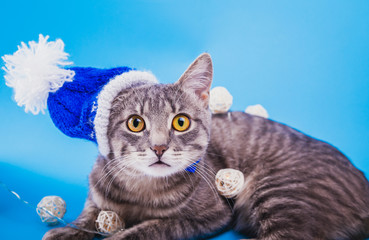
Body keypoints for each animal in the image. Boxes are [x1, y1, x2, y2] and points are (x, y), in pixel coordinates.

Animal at [42, 53, 368, 239]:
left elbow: (156, 226)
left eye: (180, 122)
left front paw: (120, 236)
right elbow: (89, 211)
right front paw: (67, 230)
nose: (159, 147)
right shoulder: (97, 189)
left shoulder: (212, 215)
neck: (141, 191)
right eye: (135, 123)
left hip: (281, 192)